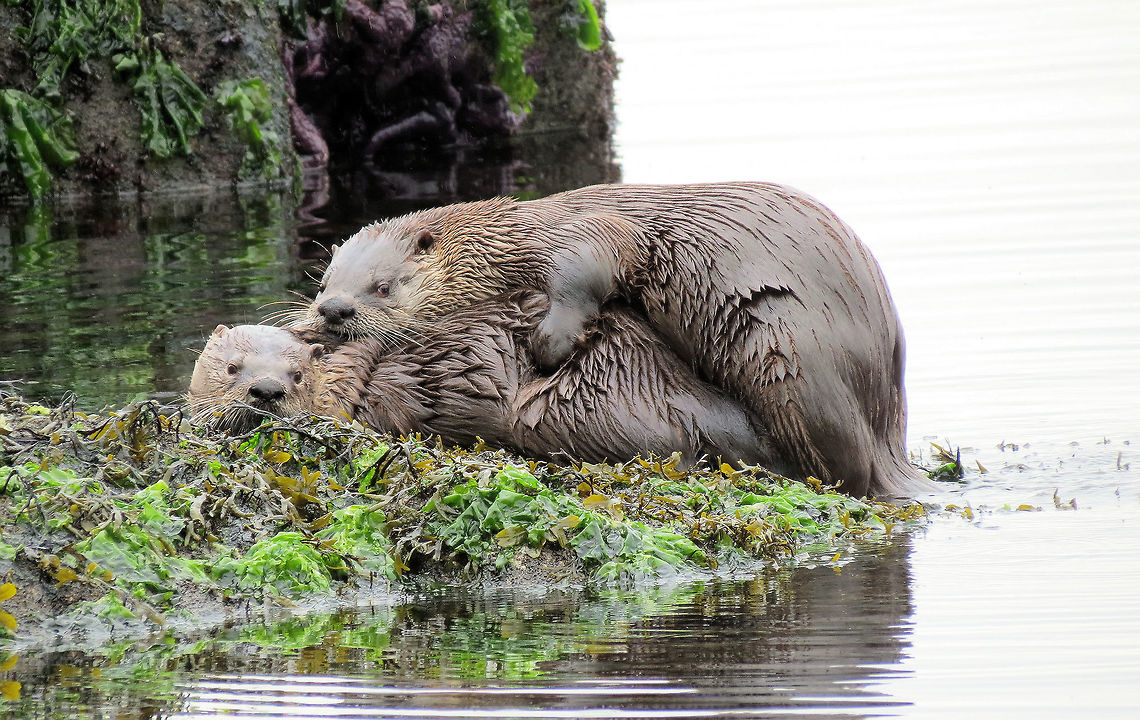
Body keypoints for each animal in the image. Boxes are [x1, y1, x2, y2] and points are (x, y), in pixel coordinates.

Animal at [304, 182, 923, 497]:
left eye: (381, 286)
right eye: (325, 281)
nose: (333, 311)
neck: (511, 246)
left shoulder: (579, 236)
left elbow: (583, 277)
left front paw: (549, 348)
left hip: (791, 354)